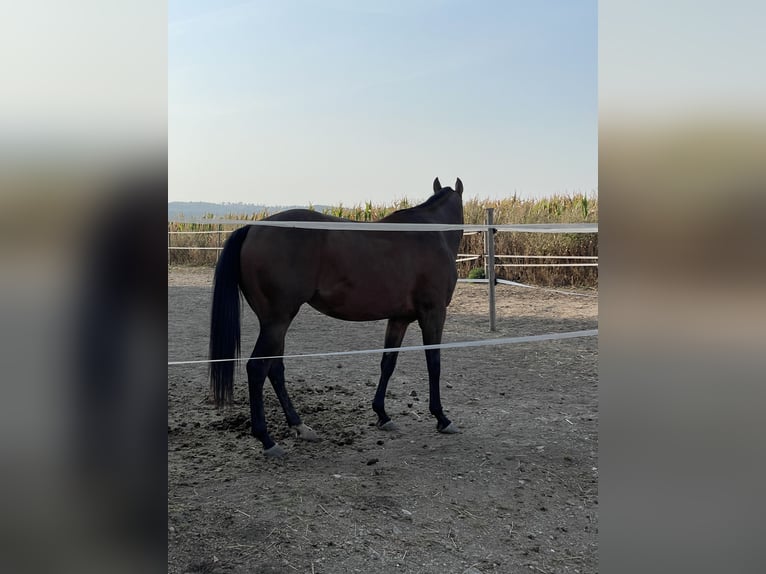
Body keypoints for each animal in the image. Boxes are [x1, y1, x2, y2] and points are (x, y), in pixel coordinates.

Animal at [207, 178, 464, 456]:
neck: (433, 231)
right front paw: (441, 418)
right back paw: (267, 439)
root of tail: (252, 228)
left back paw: (299, 426)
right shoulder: (433, 313)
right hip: (277, 321)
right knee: (257, 369)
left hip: (275, 323)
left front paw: (382, 415)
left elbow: (388, 363)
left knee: (274, 369)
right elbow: (434, 363)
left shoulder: (399, 319)